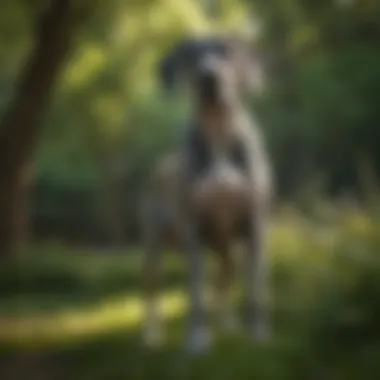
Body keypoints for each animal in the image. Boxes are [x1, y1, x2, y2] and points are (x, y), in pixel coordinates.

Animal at [141, 32, 272, 354]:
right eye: (192, 56)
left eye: (227, 52)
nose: (208, 76)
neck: (219, 131)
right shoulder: (194, 228)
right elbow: (196, 295)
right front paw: (196, 341)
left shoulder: (255, 224)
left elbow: (255, 290)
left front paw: (257, 335)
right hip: (154, 245)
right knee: (152, 290)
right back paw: (150, 337)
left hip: (228, 248)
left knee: (224, 280)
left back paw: (228, 325)